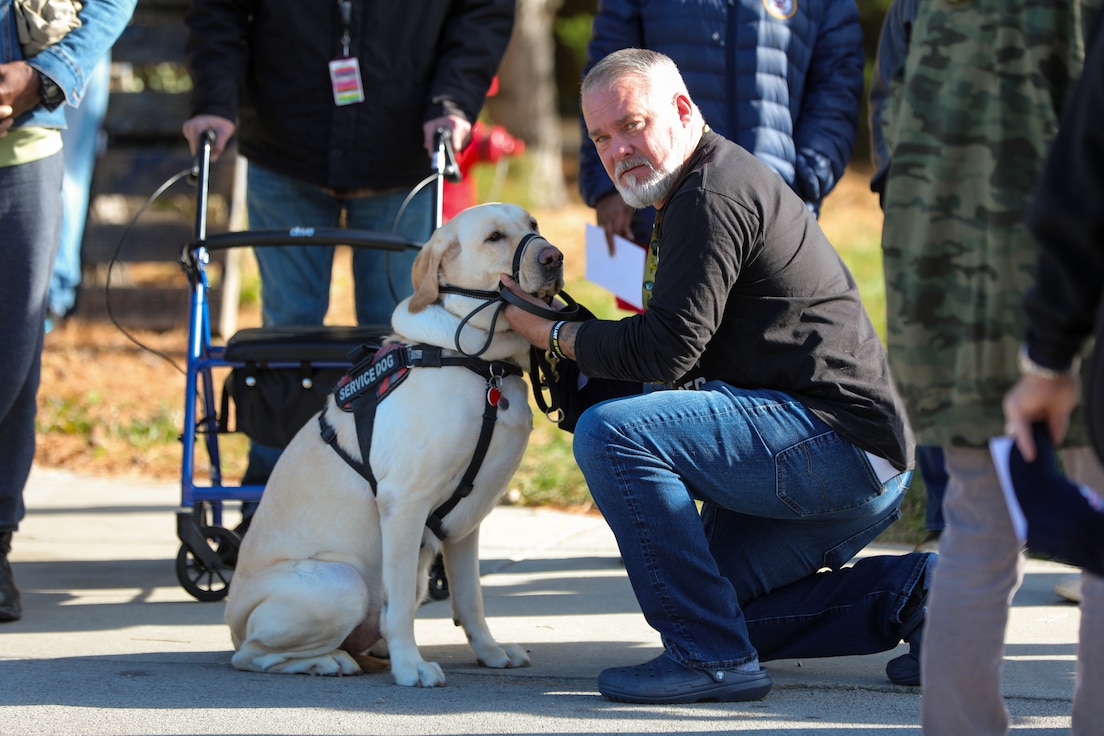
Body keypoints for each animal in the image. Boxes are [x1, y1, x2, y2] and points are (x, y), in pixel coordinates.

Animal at [227, 201, 565, 684]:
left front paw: (490, 651)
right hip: (341, 581)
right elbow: (402, 604)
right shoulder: (404, 504)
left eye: (533, 225)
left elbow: (471, 599)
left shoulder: (465, 525)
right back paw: (330, 660)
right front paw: (411, 667)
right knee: (253, 655)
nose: (553, 257)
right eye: (495, 237)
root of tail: (232, 622)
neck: (481, 366)